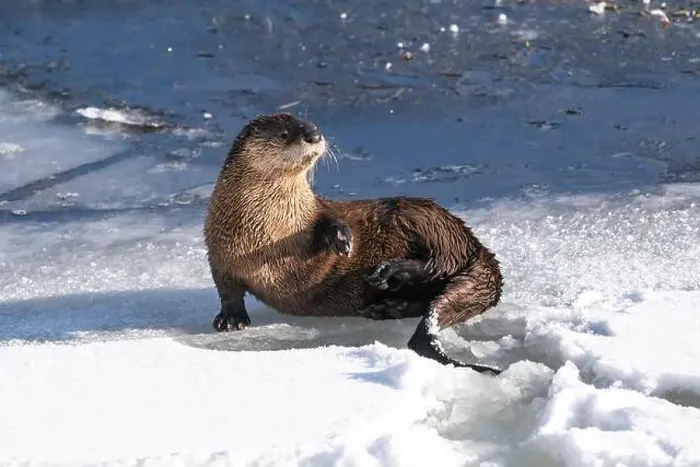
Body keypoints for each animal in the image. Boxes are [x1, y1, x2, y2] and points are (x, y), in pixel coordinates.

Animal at [204, 113, 504, 374]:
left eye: (312, 124)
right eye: (285, 134)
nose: (314, 135)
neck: (270, 231)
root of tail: (474, 243)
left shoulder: (316, 211)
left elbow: (329, 220)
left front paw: (342, 239)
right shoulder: (218, 252)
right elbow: (227, 291)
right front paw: (230, 319)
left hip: (424, 218)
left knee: (438, 264)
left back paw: (390, 273)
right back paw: (389, 307)